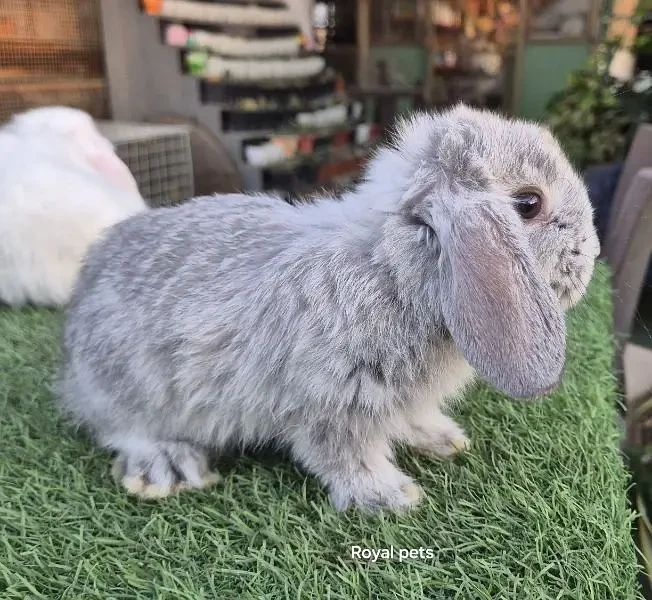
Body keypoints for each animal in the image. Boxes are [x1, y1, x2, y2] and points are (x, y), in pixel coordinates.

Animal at [58, 106, 600, 510]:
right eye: (528, 204)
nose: (592, 254)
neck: (393, 271)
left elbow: (412, 419)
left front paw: (442, 439)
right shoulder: (332, 406)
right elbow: (344, 458)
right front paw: (391, 497)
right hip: (130, 387)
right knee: (116, 427)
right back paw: (167, 467)